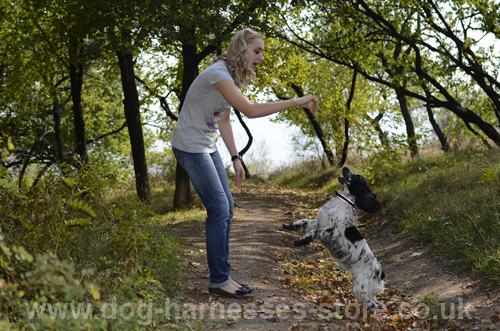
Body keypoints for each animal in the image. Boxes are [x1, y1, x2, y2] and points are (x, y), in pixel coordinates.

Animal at [284, 169, 384, 312]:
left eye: (357, 176)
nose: (345, 167)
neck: (343, 202)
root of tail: (380, 273)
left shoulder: (333, 231)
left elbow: (313, 232)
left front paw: (301, 240)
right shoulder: (317, 223)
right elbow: (302, 221)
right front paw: (288, 225)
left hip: (360, 289)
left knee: (372, 305)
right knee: (376, 302)